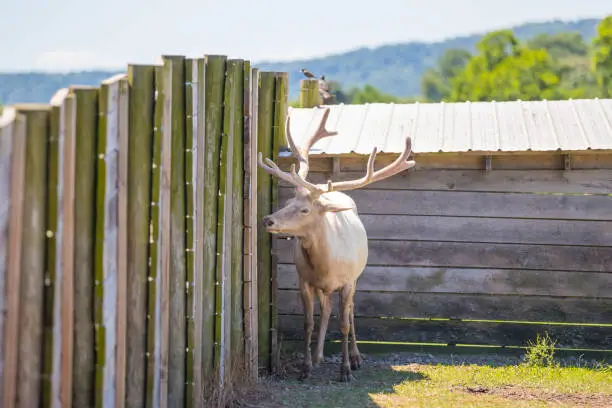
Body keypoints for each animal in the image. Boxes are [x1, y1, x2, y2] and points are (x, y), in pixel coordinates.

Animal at [258, 107, 416, 380]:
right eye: (288, 202)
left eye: (304, 210)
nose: (268, 219)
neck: (326, 265)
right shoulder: (304, 280)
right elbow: (308, 322)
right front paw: (305, 368)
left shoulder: (348, 280)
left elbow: (343, 323)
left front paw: (345, 371)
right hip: (324, 288)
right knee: (326, 308)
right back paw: (319, 356)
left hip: (356, 278)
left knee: (350, 312)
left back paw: (355, 357)